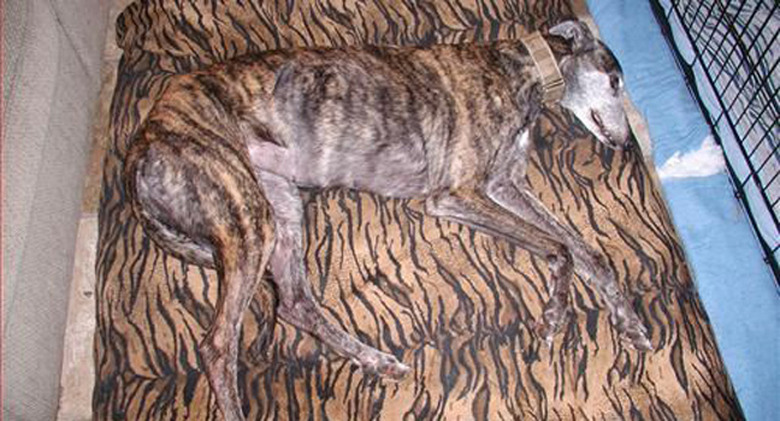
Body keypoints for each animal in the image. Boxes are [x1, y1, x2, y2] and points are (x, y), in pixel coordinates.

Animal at [123, 18, 652, 418]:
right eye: (615, 82)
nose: (629, 145)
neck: (521, 70)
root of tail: (142, 142)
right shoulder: (455, 195)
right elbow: (560, 249)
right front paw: (555, 314)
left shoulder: (506, 187)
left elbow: (588, 253)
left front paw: (628, 322)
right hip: (247, 216)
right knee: (217, 346)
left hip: (279, 205)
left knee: (294, 304)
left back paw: (375, 360)